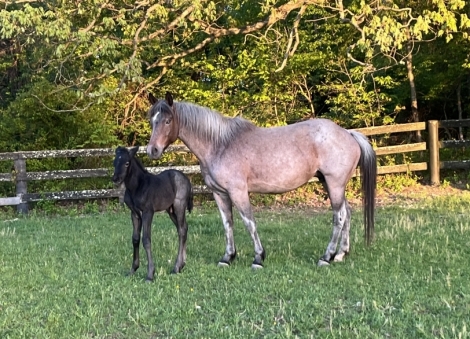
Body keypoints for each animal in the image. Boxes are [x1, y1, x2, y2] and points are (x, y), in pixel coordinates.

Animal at [112, 146, 193, 282]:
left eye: (127, 163)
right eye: (114, 162)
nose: (115, 179)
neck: (137, 187)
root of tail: (186, 178)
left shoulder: (147, 212)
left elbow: (146, 239)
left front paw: (150, 275)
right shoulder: (134, 213)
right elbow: (135, 239)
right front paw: (133, 270)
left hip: (179, 205)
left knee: (182, 230)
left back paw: (176, 268)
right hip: (170, 210)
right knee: (183, 229)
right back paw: (182, 265)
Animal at [145, 92, 376, 268]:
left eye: (167, 121)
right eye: (152, 120)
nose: (152, 150)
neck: (220, 144)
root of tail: (348, 133)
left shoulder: (238, 191)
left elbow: (249, 222)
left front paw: (258, 258)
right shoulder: (219, 193)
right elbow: (227, 223)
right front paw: (227, 258)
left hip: (334, 184)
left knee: (339, 216)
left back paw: (326, 257)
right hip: (330, 184)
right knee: (347, 213)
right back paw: (341, 254)